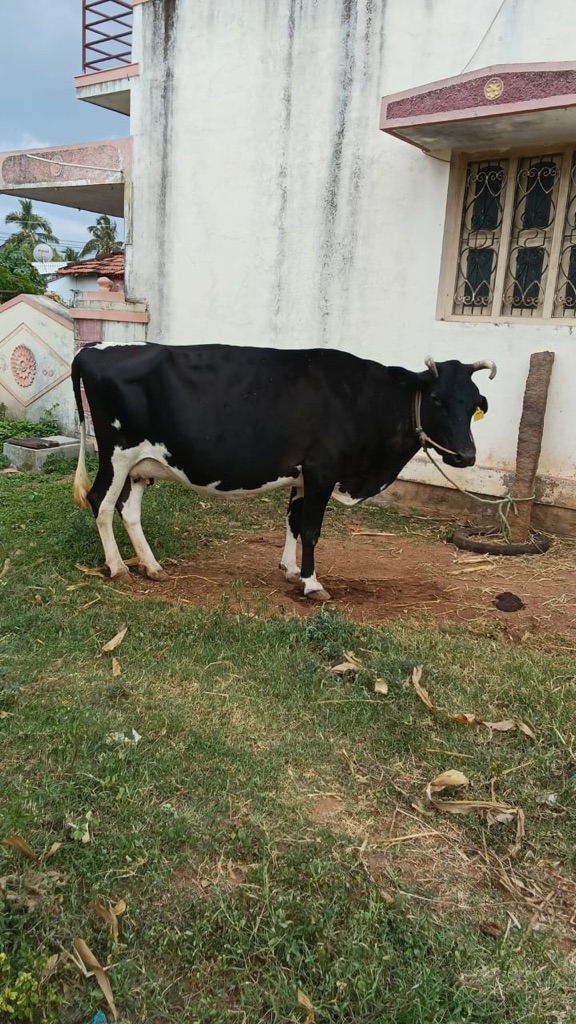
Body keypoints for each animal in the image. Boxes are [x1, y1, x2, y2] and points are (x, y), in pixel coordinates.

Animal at [71, 343, 496, 601]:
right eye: (437, 399)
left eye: (475, 402)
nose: (466, 455)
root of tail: (92, 351)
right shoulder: (323, 469)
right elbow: (311, 529)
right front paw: (312, 583)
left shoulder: (304, 475)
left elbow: (292, 521)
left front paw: (291, 569)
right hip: (116, 454)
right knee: (101, 502)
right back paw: (117, 568)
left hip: (142, 464)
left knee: (129, 510)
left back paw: (152, 566)